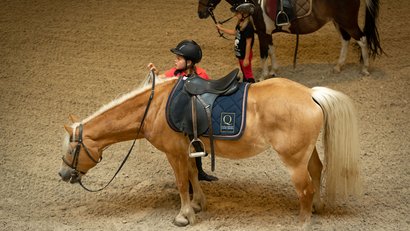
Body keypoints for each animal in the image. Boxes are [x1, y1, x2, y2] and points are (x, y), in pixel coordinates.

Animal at [59, 74, 360, 229]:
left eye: (72, 149)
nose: (63, 174)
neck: (154, 107)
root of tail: (310, 94)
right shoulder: (188, 149)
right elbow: (193, 175)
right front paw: (198, 204)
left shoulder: (173, 152)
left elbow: (182, 182)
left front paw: (184, 215)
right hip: (306, 154)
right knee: (317, 172)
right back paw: (318, 207)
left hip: (293, 160)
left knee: (305, 188)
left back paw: (303, 222)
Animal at [197, 0, 382, 77]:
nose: (200, 13)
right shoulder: (267, 32)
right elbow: (271, 50)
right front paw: (274, 70)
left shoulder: (262, 32)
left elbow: (264, 53)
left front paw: (264, 75)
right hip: (338, 21)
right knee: (345, 40)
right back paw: (338, 66)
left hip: (347, 21)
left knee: (362, 39)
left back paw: (365, 69)